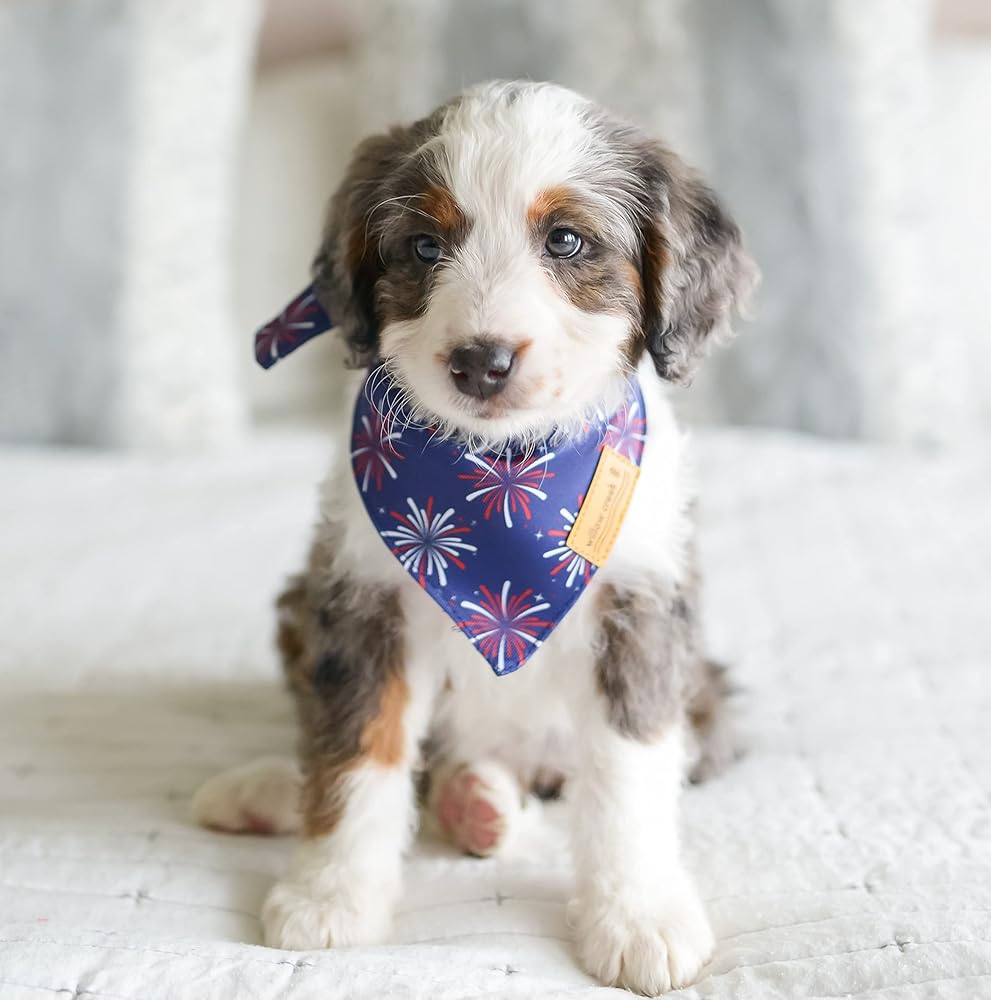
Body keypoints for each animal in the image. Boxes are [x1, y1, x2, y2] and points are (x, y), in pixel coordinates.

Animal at [193, 80, 755, 995]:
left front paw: (638, 914)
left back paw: (480, 804)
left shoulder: (641, 606)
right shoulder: (357, 596)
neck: (502, 483)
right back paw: (284, 793)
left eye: (565, 240)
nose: (480, 361)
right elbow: (356, 751)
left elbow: (628, 769)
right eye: (424, 246)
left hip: (704, 691)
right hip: (298, 607)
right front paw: (330, 892)